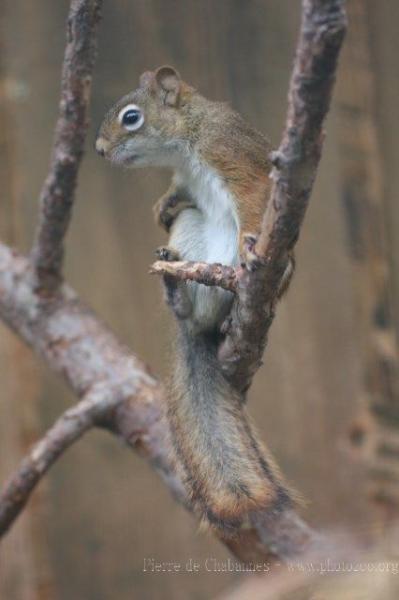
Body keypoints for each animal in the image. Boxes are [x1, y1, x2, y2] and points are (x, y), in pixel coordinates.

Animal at [96, 67, 296, 536]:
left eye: (131, 118)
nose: (98, 148)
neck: (188, 138)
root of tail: (199, 330)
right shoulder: (185, 181)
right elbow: (177, 196)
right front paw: (160, 206)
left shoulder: (235, 157)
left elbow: (254, 200)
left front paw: (249, 246)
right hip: (190, 230)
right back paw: (178, 294)